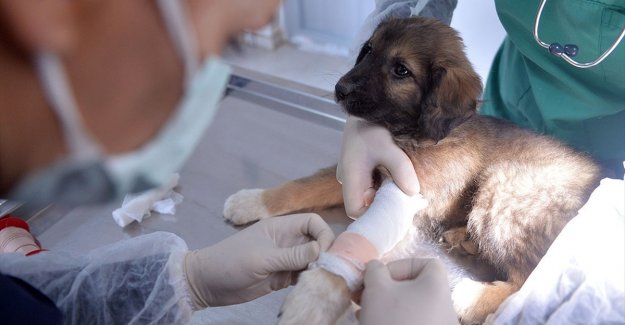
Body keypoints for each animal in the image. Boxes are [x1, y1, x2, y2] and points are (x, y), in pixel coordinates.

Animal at [223, 17, 600, 324]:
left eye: (401, 70)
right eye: (367, 51)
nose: (340, 90)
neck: (418, 131)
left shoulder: (405, 192)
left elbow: (352, 244)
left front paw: (315, 295)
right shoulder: (366, 170)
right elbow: (303, 185)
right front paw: (252, 201)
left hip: (505, 186)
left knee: (530, 279)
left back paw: (473, 297)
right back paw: (463, 239)